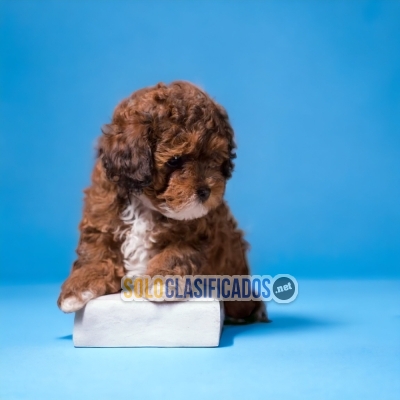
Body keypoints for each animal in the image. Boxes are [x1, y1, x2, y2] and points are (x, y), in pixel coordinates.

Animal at [56, 82, 268, 324]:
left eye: (214, 158)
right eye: (175, 160)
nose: (206, 191)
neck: (145, 204)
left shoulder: (197, 231)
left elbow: (175, 254)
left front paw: (160, 282)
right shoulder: (101, 217)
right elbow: (95, 253)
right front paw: (79, 288)